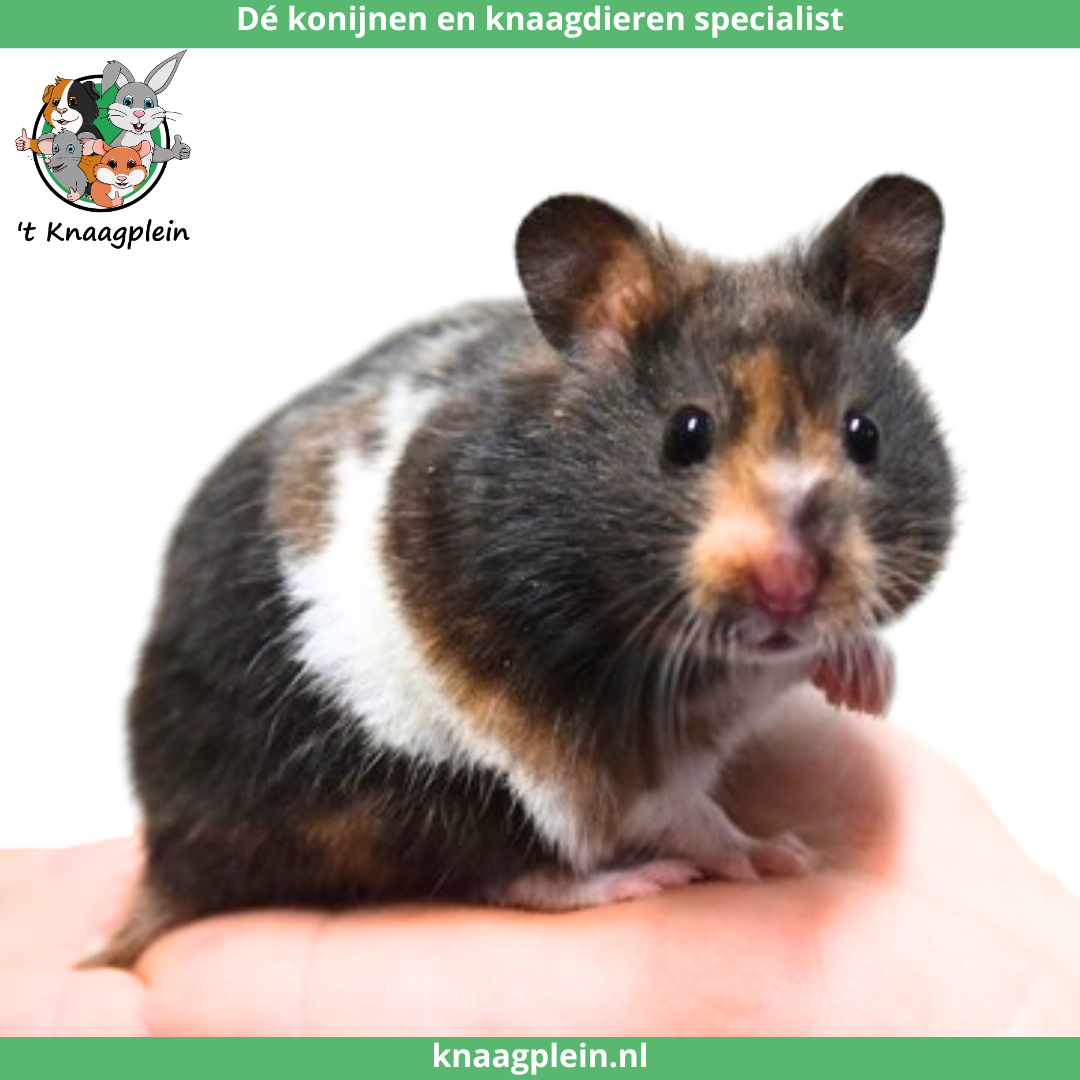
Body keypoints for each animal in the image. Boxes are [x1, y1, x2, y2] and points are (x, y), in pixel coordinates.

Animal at [96, 175, 956, 967]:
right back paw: (632, 881)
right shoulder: (584, 743)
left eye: (865, 433)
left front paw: (867, 683)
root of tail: (169, 859)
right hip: (402, 798)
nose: (789, 588)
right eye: (686, 433)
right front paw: (774, 855)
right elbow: (676, 807)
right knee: (500, 872)